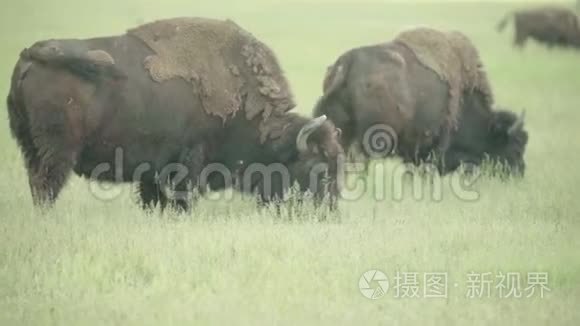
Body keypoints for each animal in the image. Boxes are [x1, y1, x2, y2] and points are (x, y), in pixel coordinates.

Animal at [6, 16, 344, 213]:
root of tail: (30, 53)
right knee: (46, 184)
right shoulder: (189, 160)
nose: (329, 210)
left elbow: (153, 196)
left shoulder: (152, 167)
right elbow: (183, 194)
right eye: (316, 167)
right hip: (58, 151)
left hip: (28, 146)